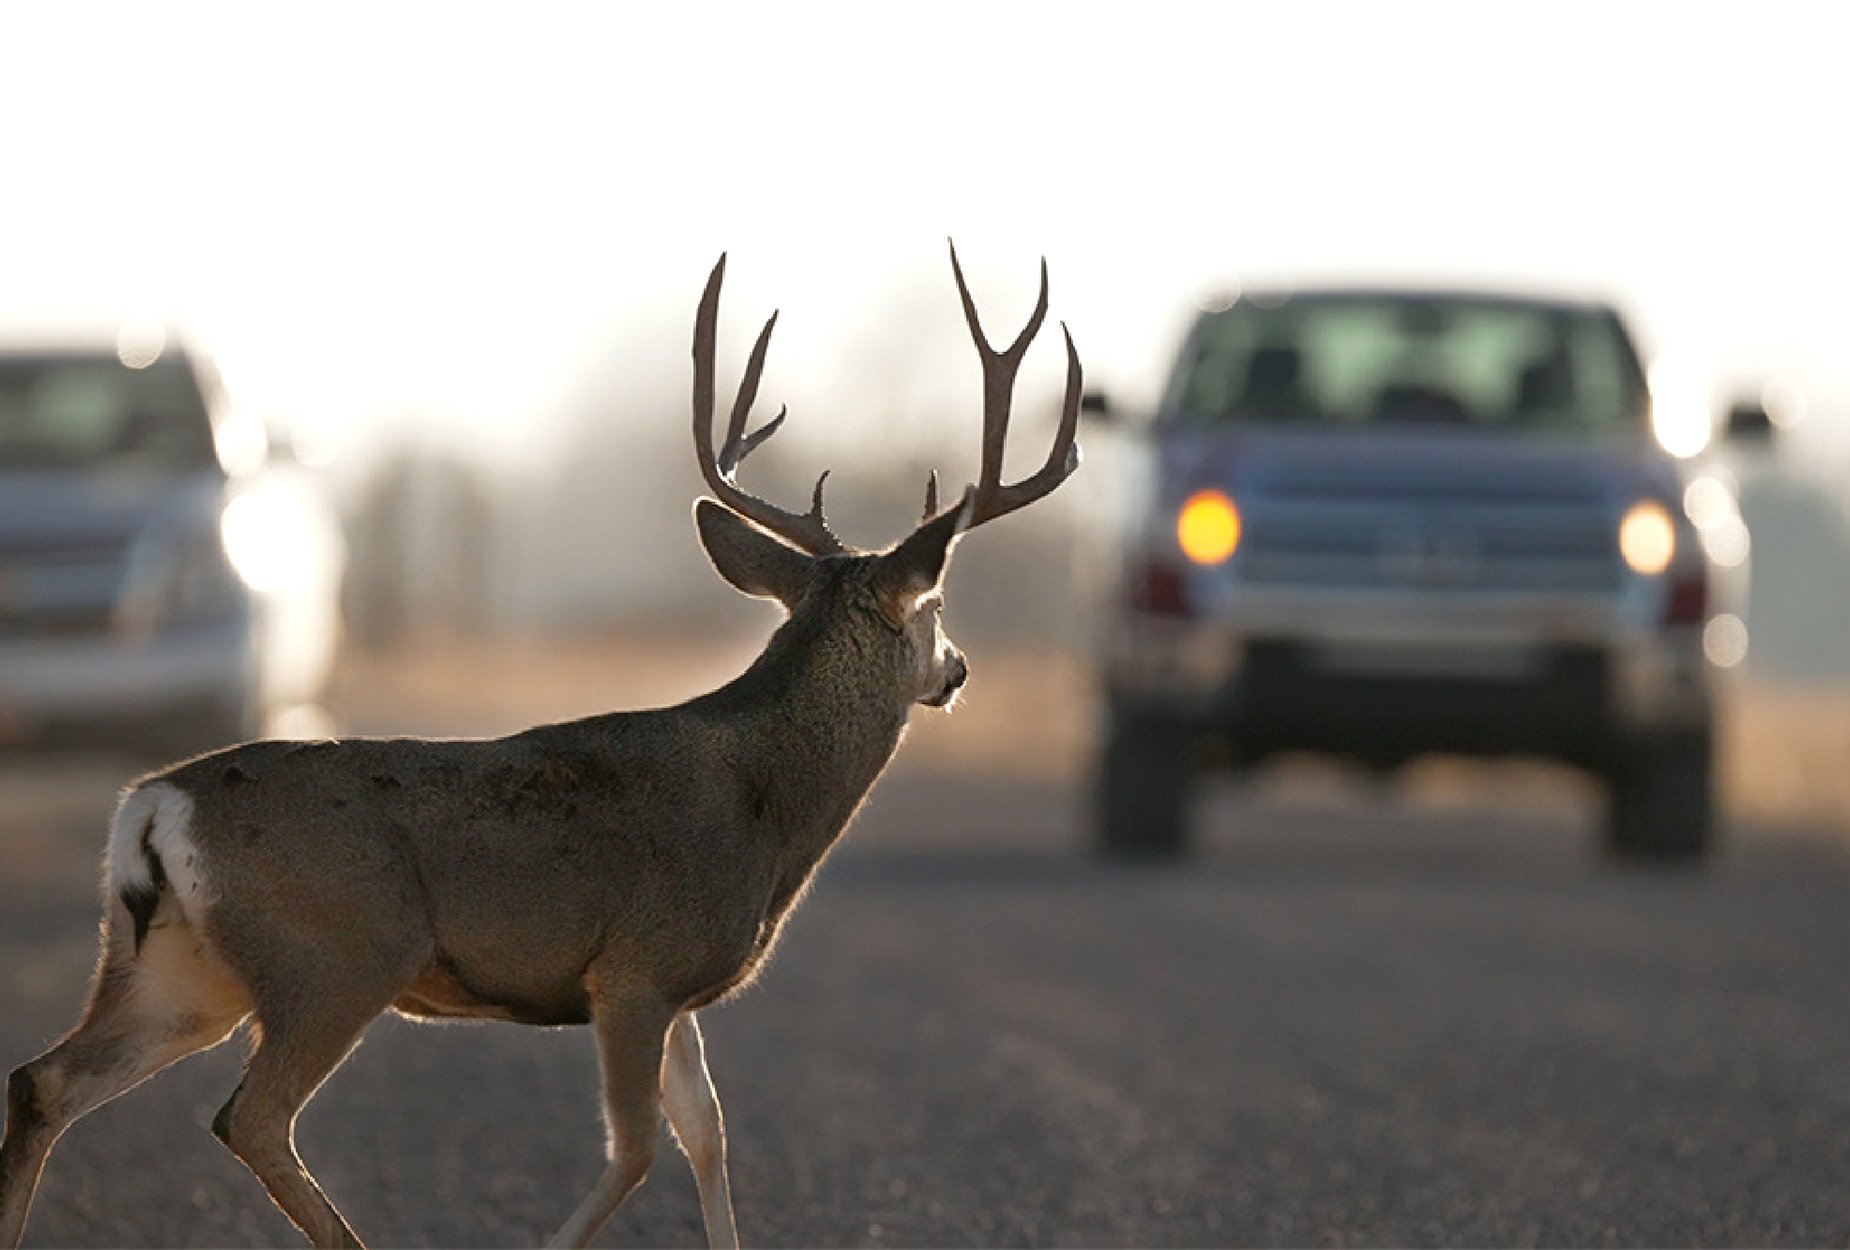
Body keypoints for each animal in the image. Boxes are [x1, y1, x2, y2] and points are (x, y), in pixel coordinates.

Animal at [0, 238, 1080, 1242]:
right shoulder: (637, 965)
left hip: (181, 967)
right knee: (250, 1117)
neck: (765, 806)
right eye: (935, 606)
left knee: (43, 1081)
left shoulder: (677, 989)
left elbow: (710, 1136)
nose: (958, 670)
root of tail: (152, 803)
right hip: (336, 953)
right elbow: (638, 1148)